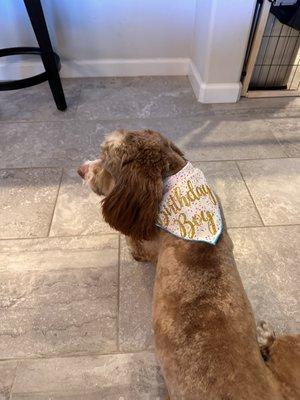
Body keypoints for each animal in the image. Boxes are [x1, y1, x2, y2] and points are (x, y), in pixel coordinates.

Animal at [78, 130, 300, 398]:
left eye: (105, 161)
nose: (81, 169)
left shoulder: (151, 242)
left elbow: (138, 243)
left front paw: (133, 249)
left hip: (292, 348)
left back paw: (266, 336)